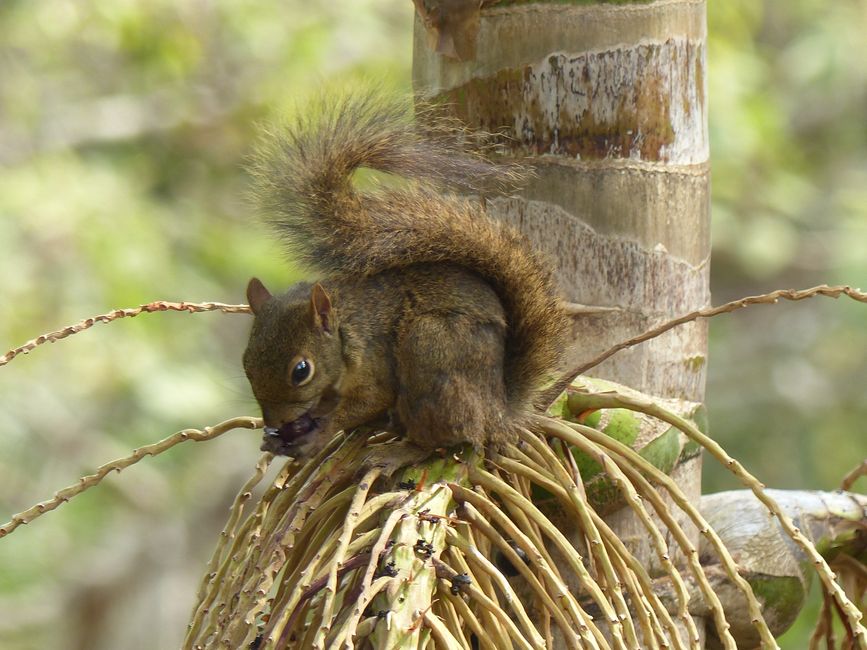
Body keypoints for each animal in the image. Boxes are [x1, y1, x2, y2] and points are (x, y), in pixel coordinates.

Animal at [241, 91, 572, 458]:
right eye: (245, 363)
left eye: (301, 371)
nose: (275, 421)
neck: (345, 328)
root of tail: (498, 411)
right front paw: (277, 438)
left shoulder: (374, 362)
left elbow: (370, 400)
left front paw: (318, 434)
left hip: (429, 347)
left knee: (451, 436)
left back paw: (399, 453)